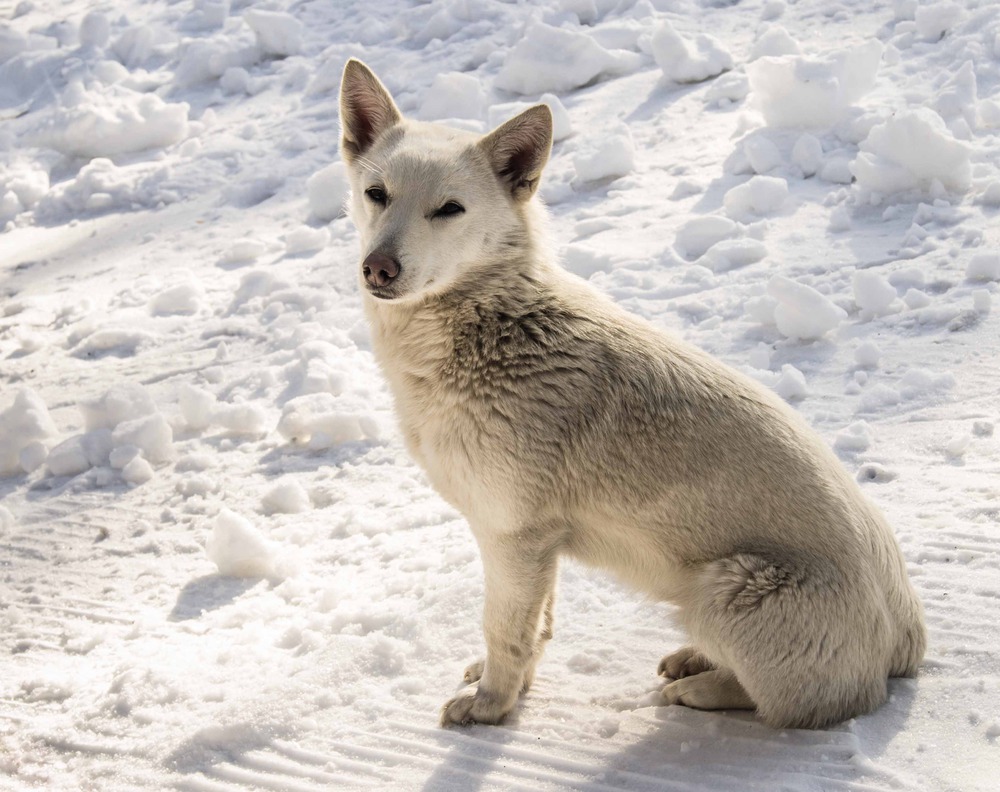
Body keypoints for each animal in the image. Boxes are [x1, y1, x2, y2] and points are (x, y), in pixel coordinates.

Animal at [340, 60, 924, 732]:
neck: (493, 326)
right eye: (377, 193)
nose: (378, 268)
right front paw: (510, 688)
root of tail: (910, 641)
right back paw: (694, 661)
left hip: (723, 587)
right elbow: (537, 628)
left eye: (449, 209)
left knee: (791, 704)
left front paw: (490, 707)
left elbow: (505, 631)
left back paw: (699, 688)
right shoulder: (540, 549)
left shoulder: (513, 536)